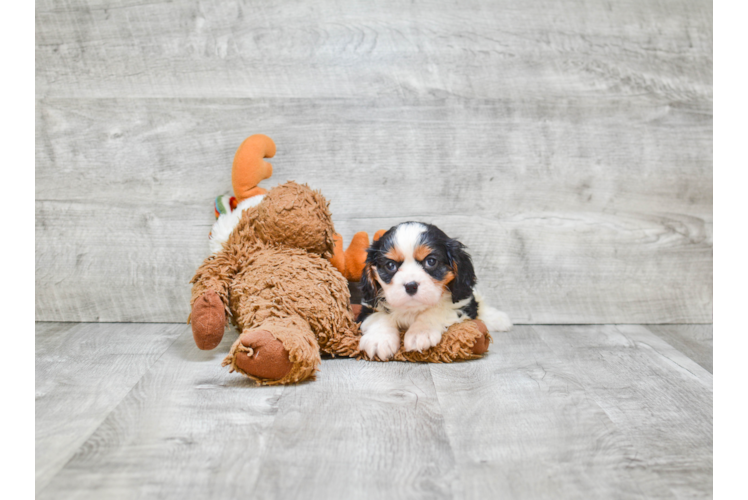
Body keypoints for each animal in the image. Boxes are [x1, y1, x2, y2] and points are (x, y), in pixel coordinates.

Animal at [358, 223, 512, 360]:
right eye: (390, 265)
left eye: (431, 261)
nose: (411, 286)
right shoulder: (369, 305)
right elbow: (379, 316)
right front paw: (379, 339)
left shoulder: (460, 304)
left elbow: (436, 310)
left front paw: (420, 332)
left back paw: (499, 319)